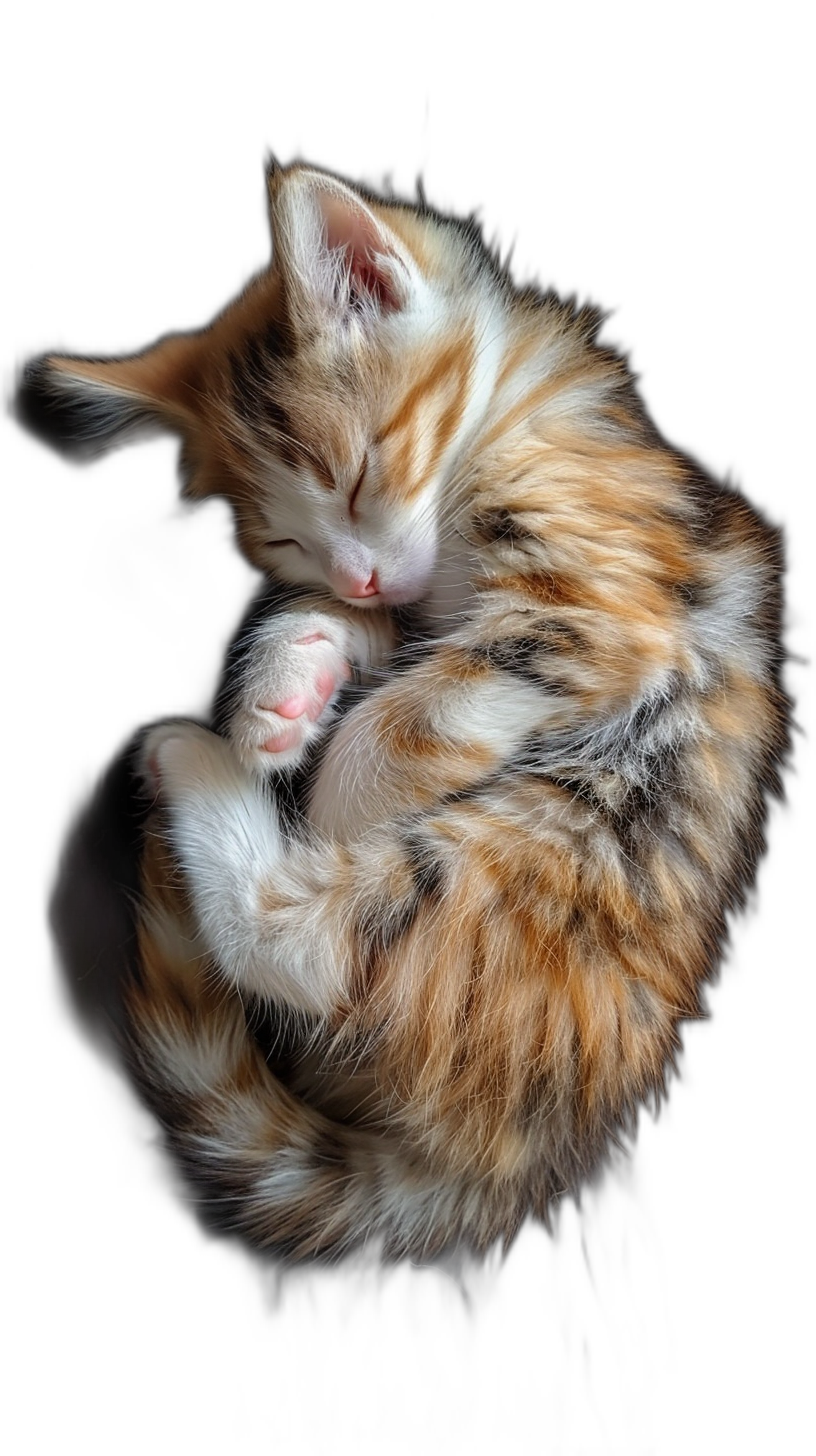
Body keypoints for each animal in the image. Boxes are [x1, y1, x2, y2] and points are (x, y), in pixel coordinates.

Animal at [28, 167, 786, 1263]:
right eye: (281, 542)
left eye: (355, 477)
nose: (355, 573)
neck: (504, 408)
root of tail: (513, 1153)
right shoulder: (427, 599)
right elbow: (377, 639)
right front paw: (289, 681)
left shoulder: (600, 610)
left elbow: (397, 723)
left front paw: (332, 796)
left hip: (533, 856)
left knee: (308, 946)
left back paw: (192, 766)